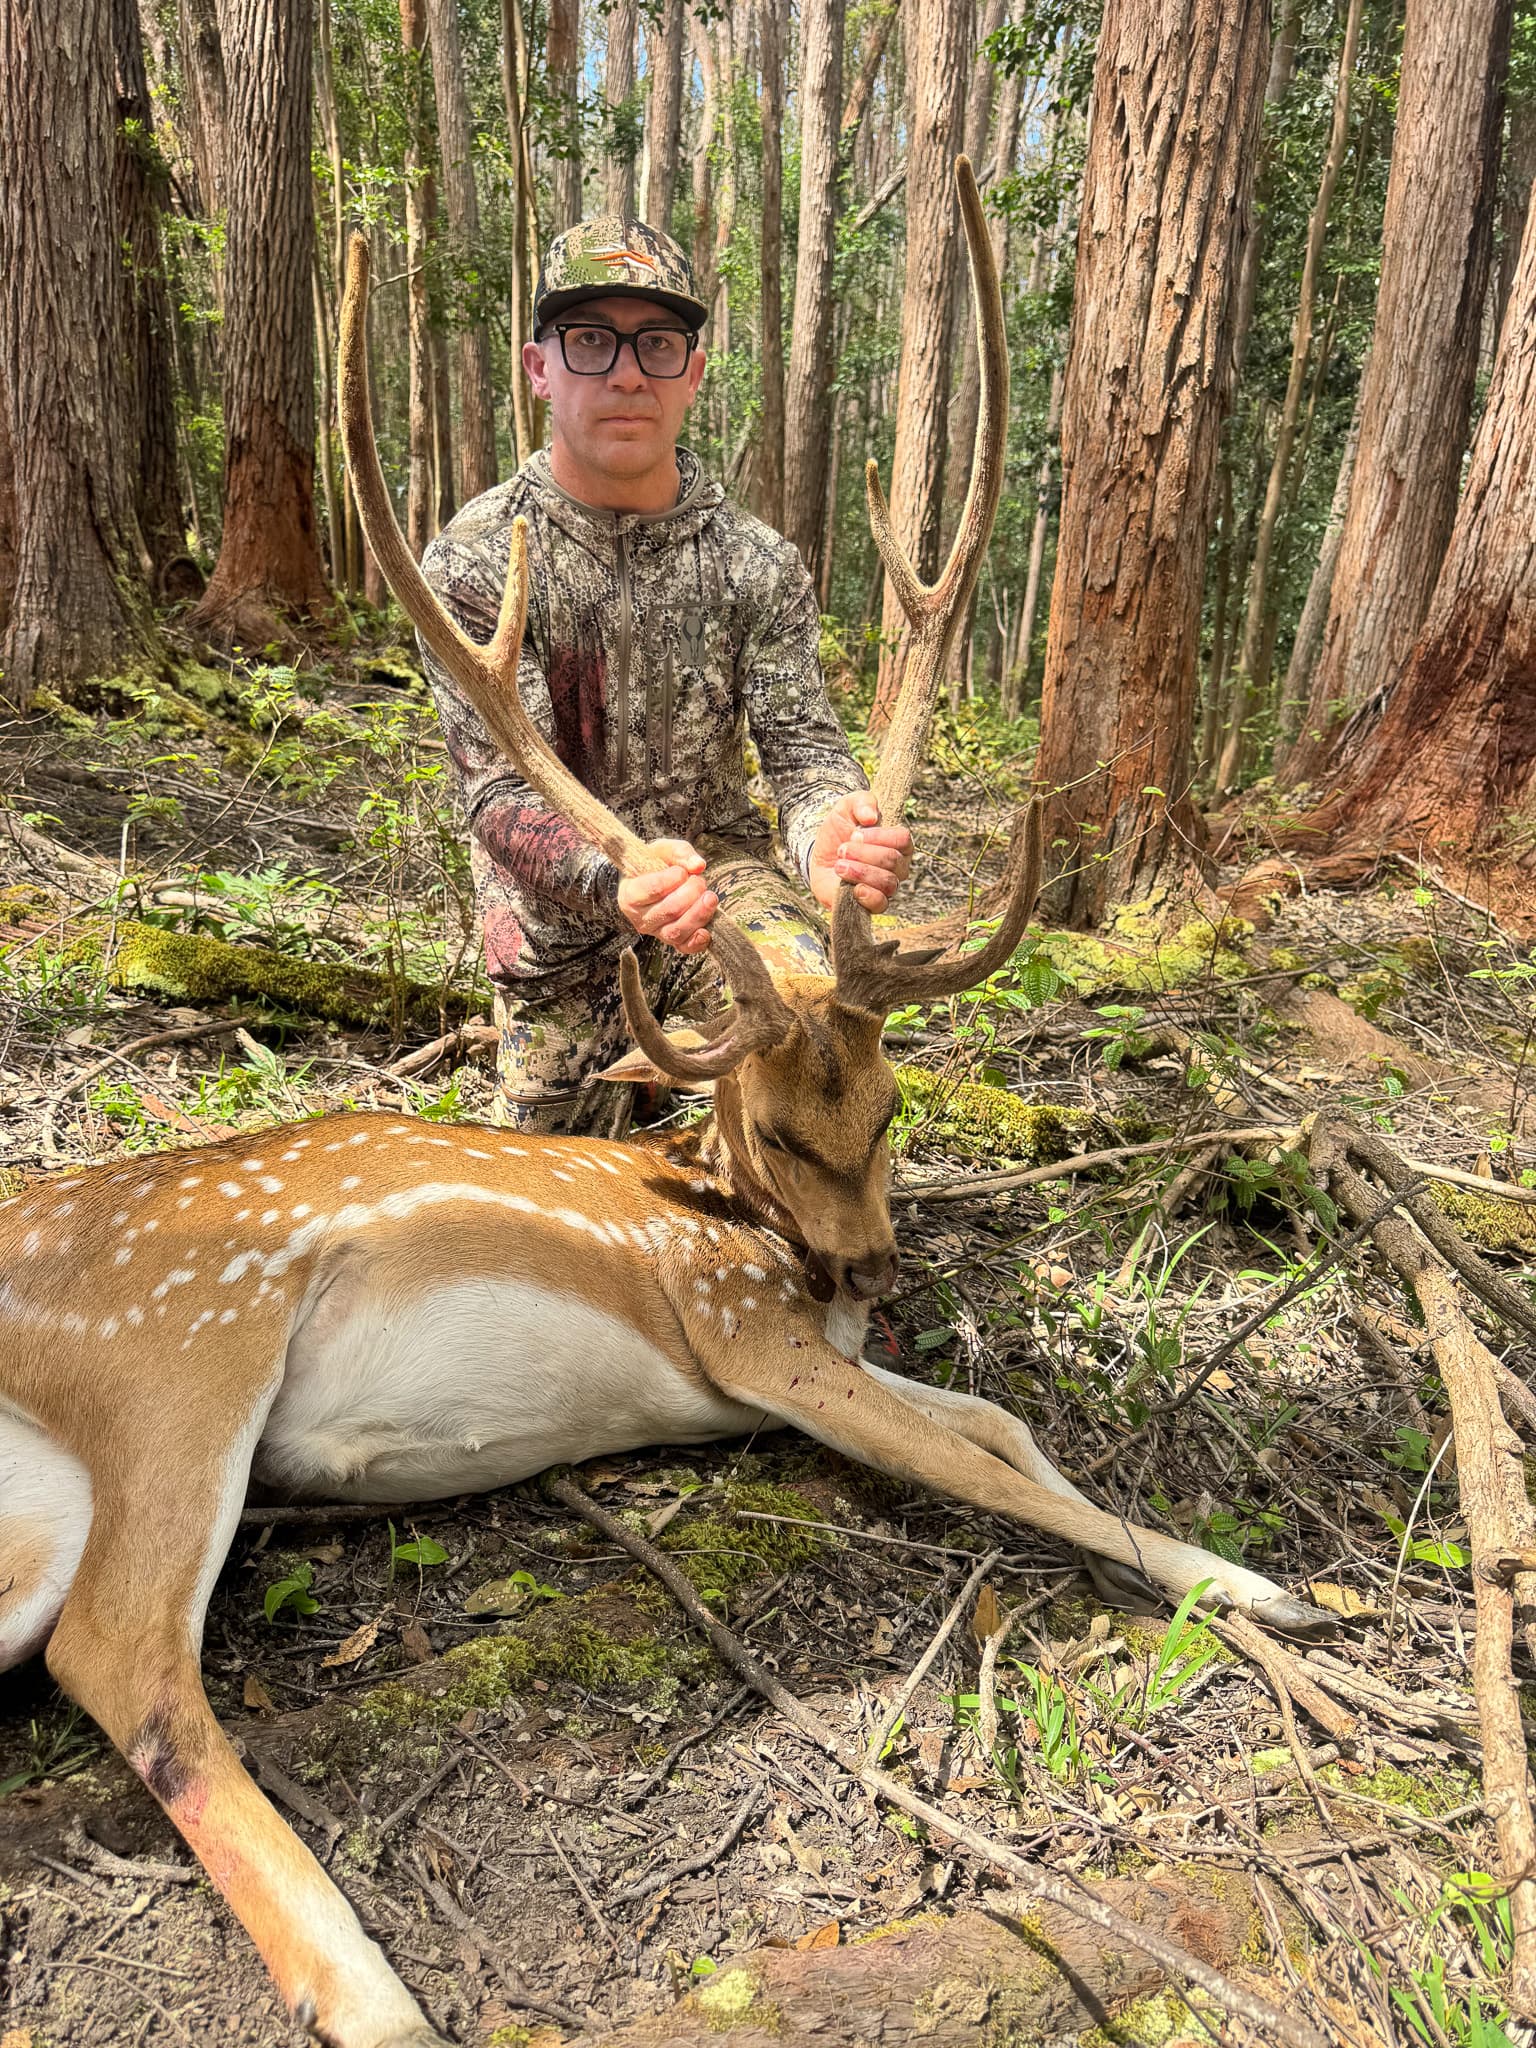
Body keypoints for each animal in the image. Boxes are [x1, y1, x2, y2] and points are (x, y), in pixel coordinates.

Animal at [0, 161, 1327, 2048]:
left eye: (895, 1110)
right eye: (775, 1131)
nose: (874, 1272)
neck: (748, 1232)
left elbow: (1002, 1425)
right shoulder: (748, 1338)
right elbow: (990, 1468)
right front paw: (1261, 1582)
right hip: (180, 1347)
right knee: (123, 1656)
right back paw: (384, 1997)